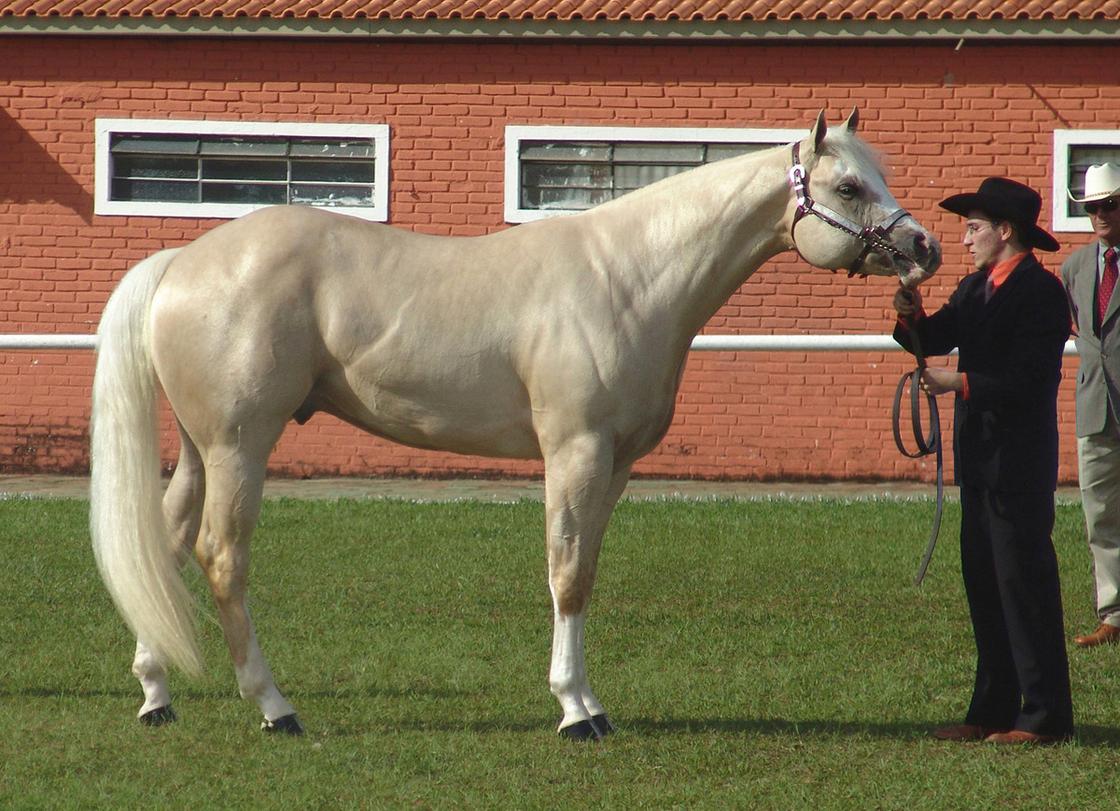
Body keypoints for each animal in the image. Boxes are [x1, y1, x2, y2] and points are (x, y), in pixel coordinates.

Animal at [91, 109, 940, 739]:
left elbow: (587, 570)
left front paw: (590, 701)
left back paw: (156, 692)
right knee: (221, 555)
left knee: (169, 540)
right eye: (848, 183)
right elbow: (565, 572)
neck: (627, 277)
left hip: (201, 447)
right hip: (240, 444)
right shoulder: (574, 451)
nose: (923, 248)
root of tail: (184, 260)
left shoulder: (616, 464)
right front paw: (574, 710)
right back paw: (275, 707)